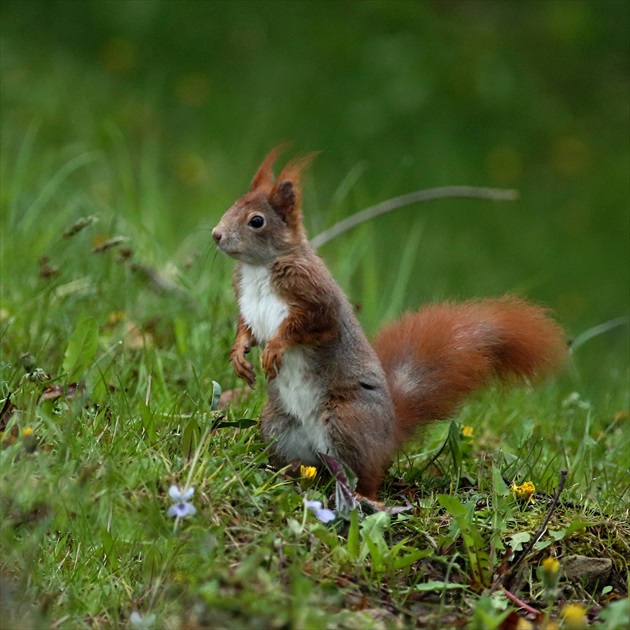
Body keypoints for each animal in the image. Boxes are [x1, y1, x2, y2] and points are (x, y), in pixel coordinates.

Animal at [212, 148, 568, 498]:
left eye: (256, 221)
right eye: (232, 206)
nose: (216, 235)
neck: (259, 268)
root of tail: (388, 435)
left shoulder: (317, 299)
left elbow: (311, 326)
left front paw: (274, 348)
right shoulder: (245, 298)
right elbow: (245, 328)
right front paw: (239, 356)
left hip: (347, 420)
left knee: (367, 477)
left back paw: (361, 498)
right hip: (278, 426)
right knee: (305, 466)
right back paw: (285, 477)